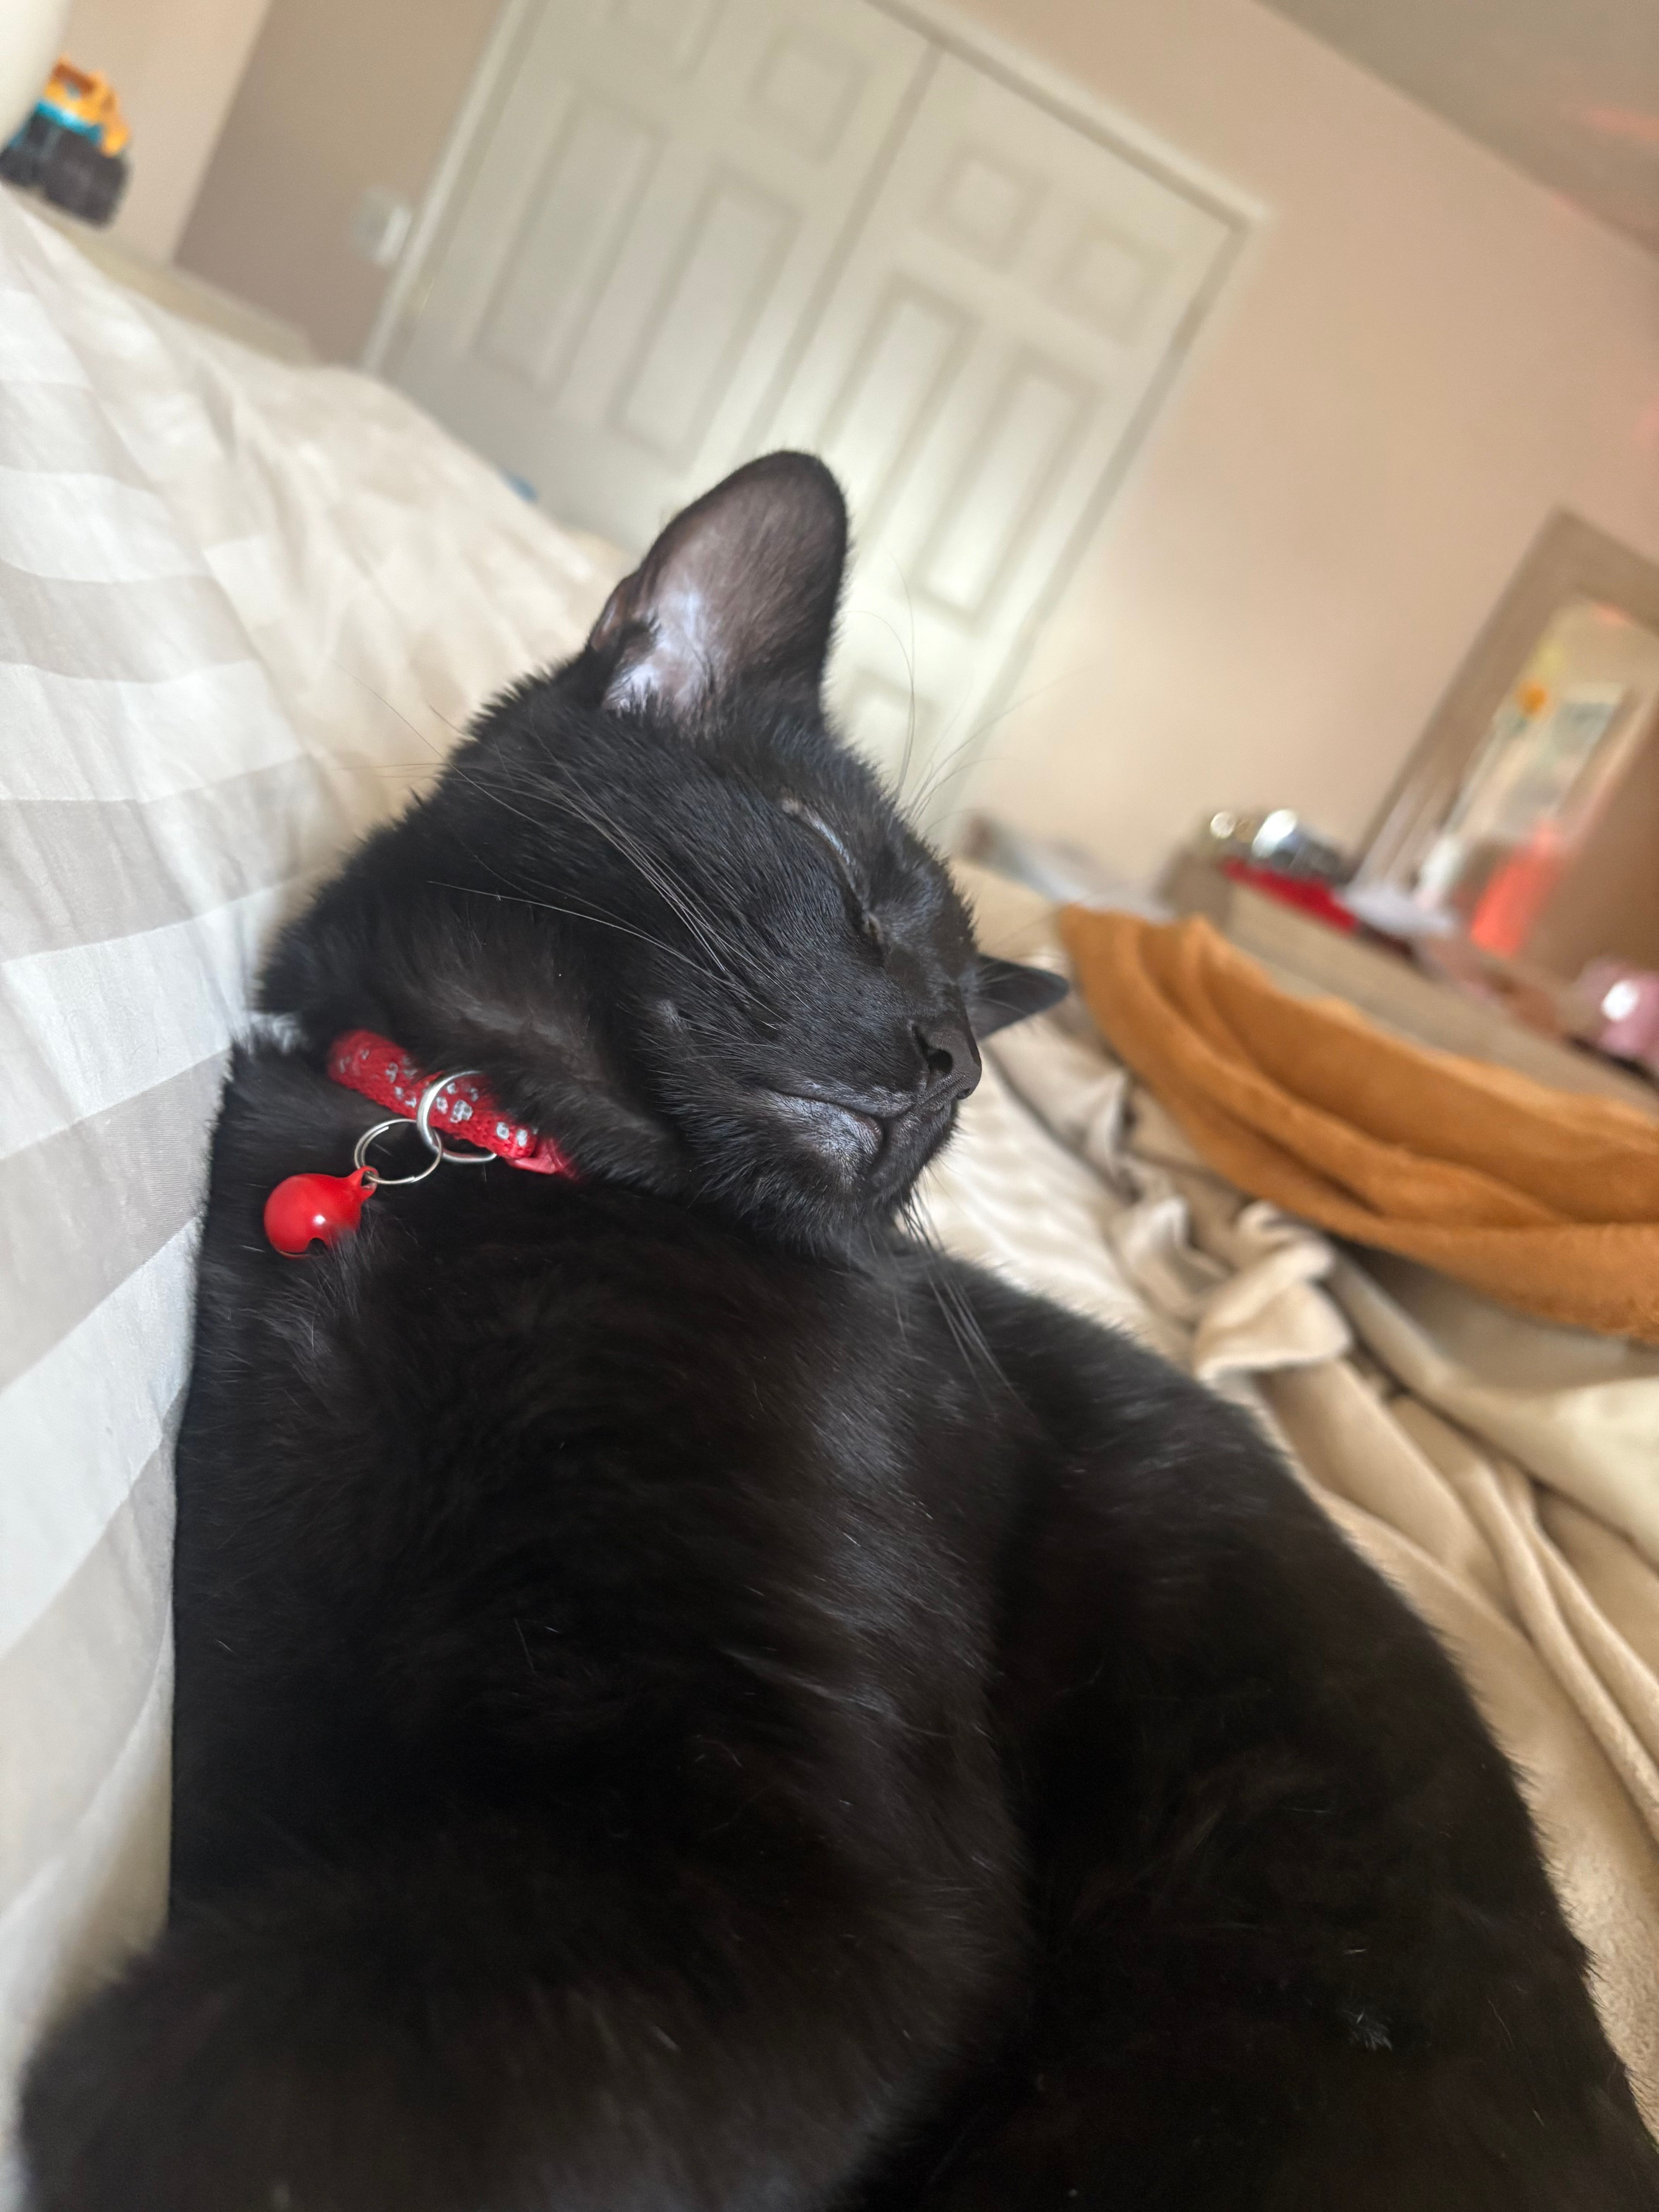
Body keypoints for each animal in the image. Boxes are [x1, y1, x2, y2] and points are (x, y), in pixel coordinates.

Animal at [22, 453, 1659, 2212]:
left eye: (970, 1045)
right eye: (835, 863)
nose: (948, 1054)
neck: (508, 1160)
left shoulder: (837, 1882)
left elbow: (274, 2075)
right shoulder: (255, 1598)